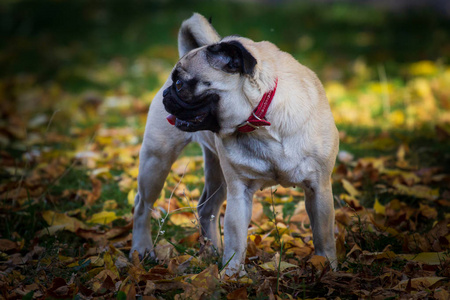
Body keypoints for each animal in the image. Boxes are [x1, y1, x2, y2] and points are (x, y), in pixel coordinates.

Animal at [130, 12, 338, 276]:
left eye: (180, 85)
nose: (168, 92)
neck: (261, 118)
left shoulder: (319, 187)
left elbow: (324, 235)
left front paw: (328, 267)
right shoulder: (240, 192)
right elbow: (236, 239)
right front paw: (231, 275)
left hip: (216, 173)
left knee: (206, 208)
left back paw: (211, 252)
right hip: (157, 160)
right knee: (142, 205)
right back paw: (141, 249)